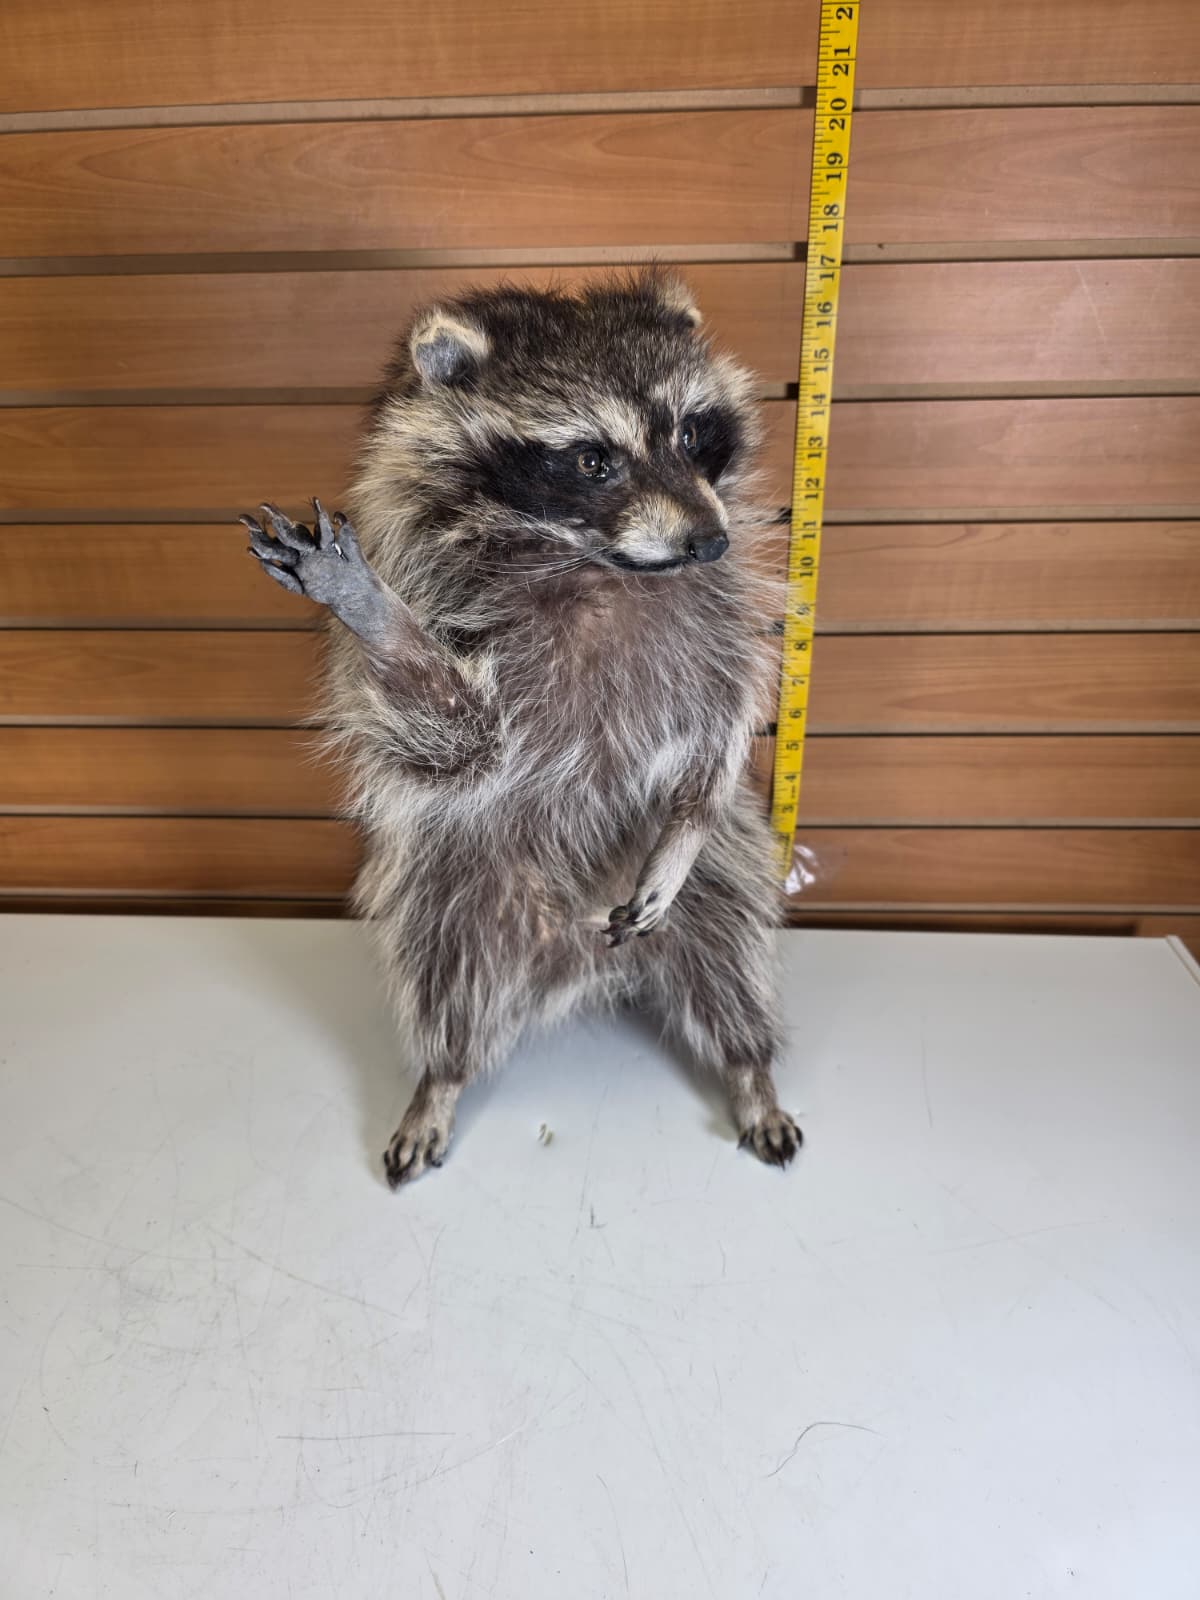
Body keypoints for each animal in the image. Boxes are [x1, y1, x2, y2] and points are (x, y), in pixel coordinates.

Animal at [241, 271, 801, 1185]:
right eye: (592, 458)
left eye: (690, 431)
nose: (708, 541)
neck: (595, 563)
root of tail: (573, 960)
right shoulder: (443, 608)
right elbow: (455, 738)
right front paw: (376, 618)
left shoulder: (725, 614)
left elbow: (723, 723)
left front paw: (689, 818)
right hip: (452, 888)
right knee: (442, 982)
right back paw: (440, 1077)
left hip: (725, 876)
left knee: (732, 951)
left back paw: (749, 1066)